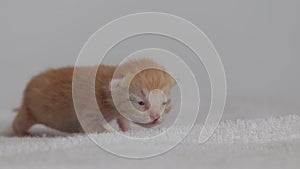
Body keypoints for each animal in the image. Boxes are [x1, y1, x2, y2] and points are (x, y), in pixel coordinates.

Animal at [12, 58, 176, 136]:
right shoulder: (88, 109)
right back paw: (24, 134)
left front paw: (127, 129)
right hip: (30, 111)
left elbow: (122, 119)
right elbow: (92, 126)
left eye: (165, 103)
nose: (156, 117)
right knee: (18, 124)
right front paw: (112, 133)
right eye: (141, 103)